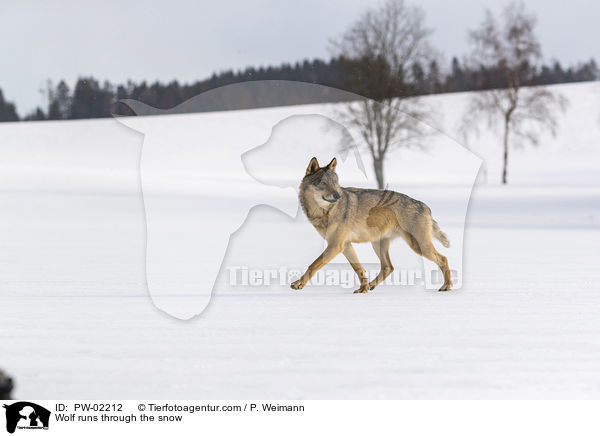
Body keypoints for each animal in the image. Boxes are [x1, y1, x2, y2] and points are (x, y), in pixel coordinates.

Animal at [290, 157, 450, 292]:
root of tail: (425, 206)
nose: (338, 195)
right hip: (378, 244)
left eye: (335, 183)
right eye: (323, 183)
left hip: (419, 246)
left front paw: (299, 283)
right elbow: (359, 268)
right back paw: (371, 285)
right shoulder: (344, 245)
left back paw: (447, 286)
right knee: (388, 267)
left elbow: (313, 265)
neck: (324, 212)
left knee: (443, 259)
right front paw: (364, 288)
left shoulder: (336, 245)